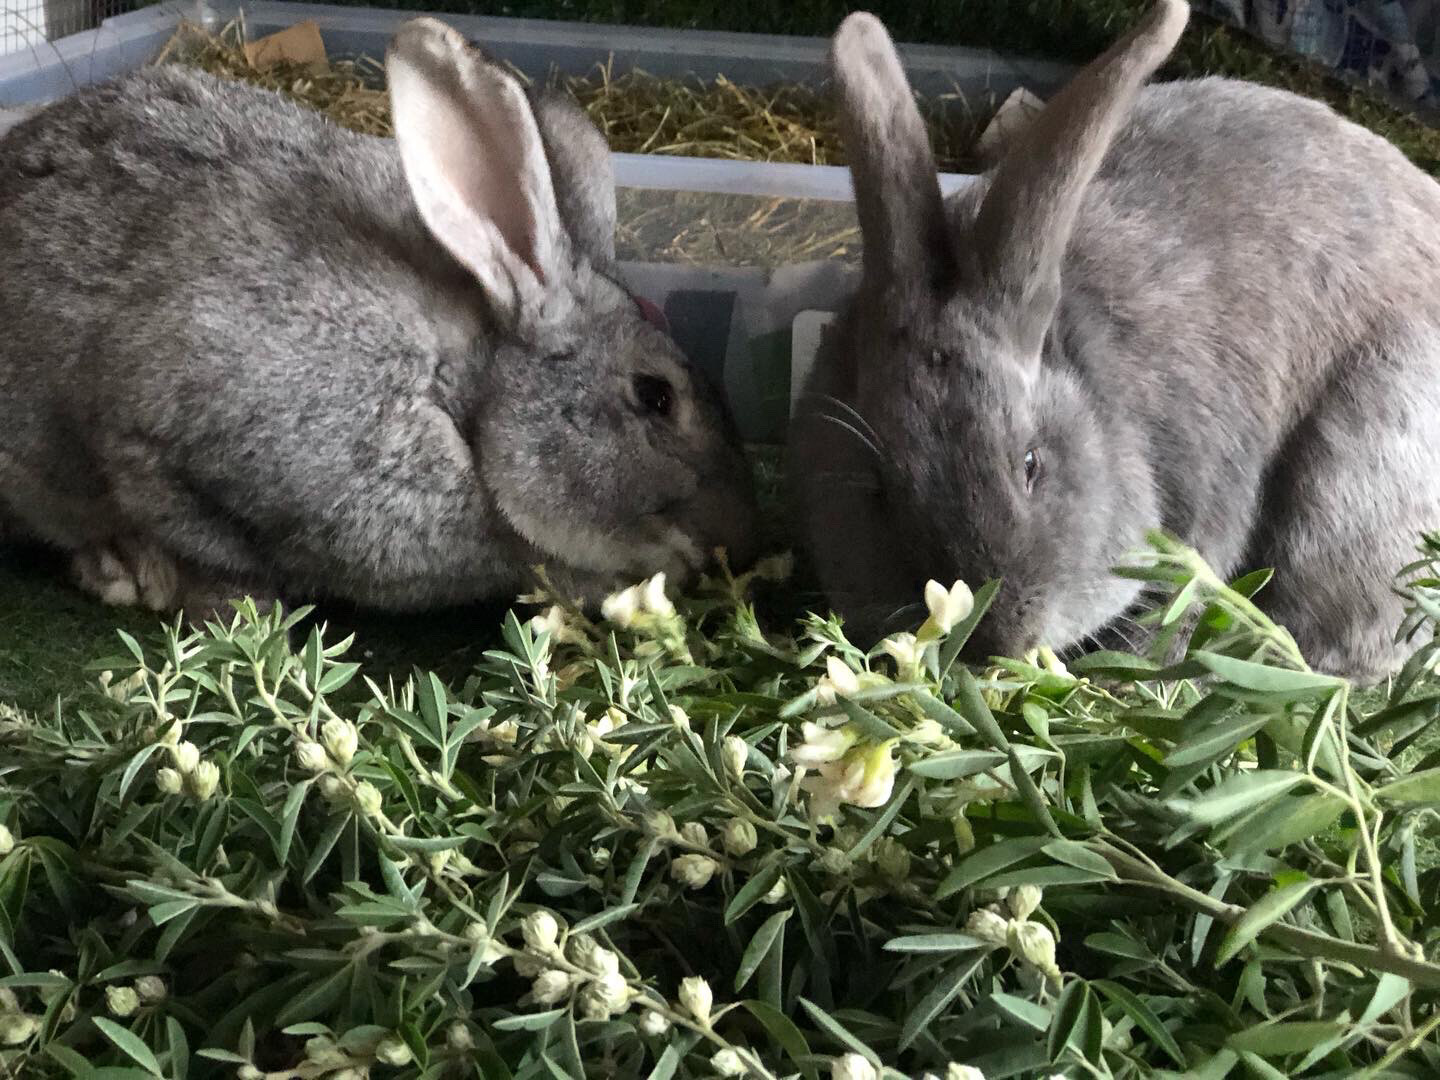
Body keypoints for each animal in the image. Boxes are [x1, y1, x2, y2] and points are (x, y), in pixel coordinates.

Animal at [0, 17, 756, 620]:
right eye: (655, 397)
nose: (739, 538)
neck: (463, 402)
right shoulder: (163, 446)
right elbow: (199, 540)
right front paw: (225, 605)